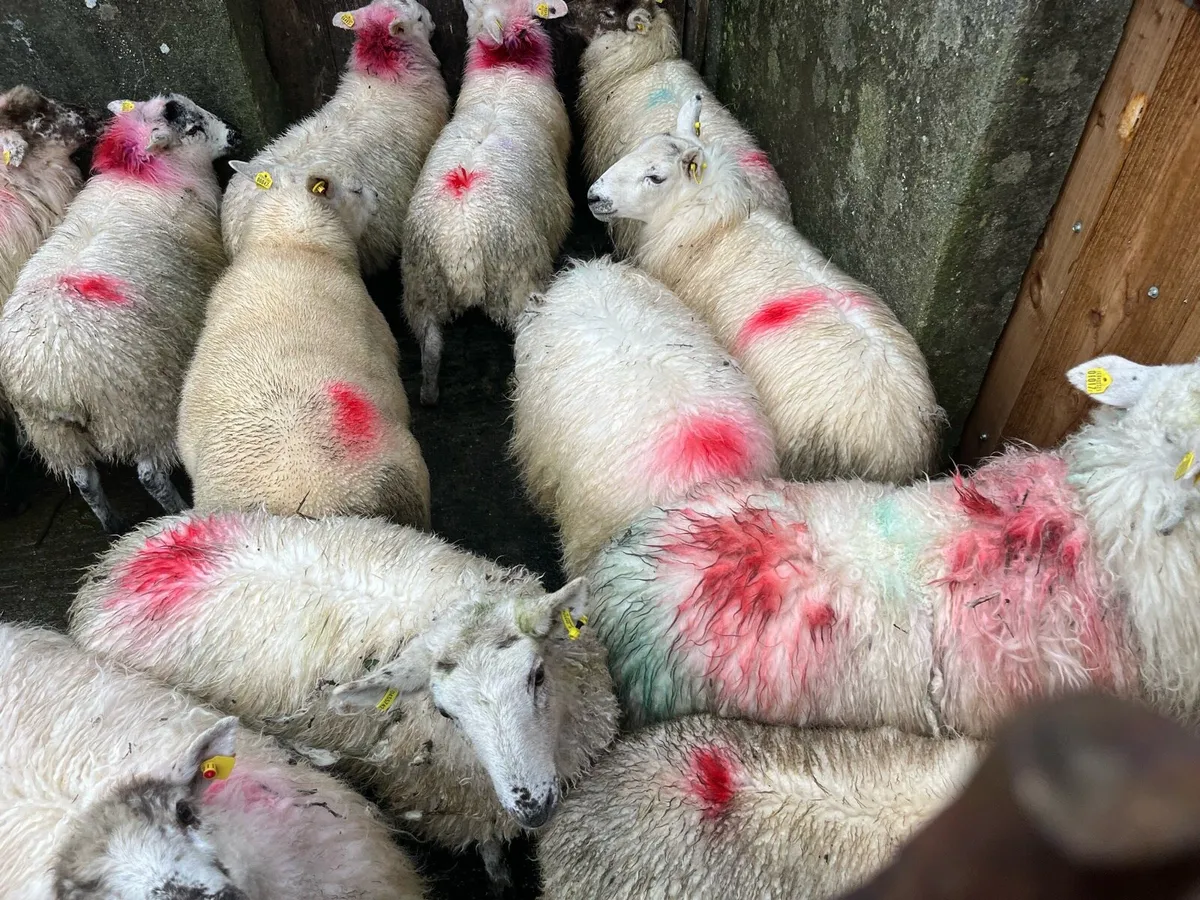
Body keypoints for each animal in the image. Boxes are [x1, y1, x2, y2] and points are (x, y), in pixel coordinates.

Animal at [0, 94, 230, 533]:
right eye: (193, 128)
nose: (234, 134)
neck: (139, 176)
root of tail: (54, 385)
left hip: (54, 433)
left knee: (83, 479)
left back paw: (112, 524)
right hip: (139, 408)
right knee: (149, 473)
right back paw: (175, 508)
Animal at [68, 509, 620, 887]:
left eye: (537, 676)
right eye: (446, 712)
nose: (531, 807)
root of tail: (126, 561)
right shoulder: (458, 803)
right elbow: (488, 849)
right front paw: (500, 875)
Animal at [401, 0, 573, 406]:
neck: (505, 71)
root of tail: (458, 244)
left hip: (420, 284)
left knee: (430, 345)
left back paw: (429, 393)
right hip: (517, 278)